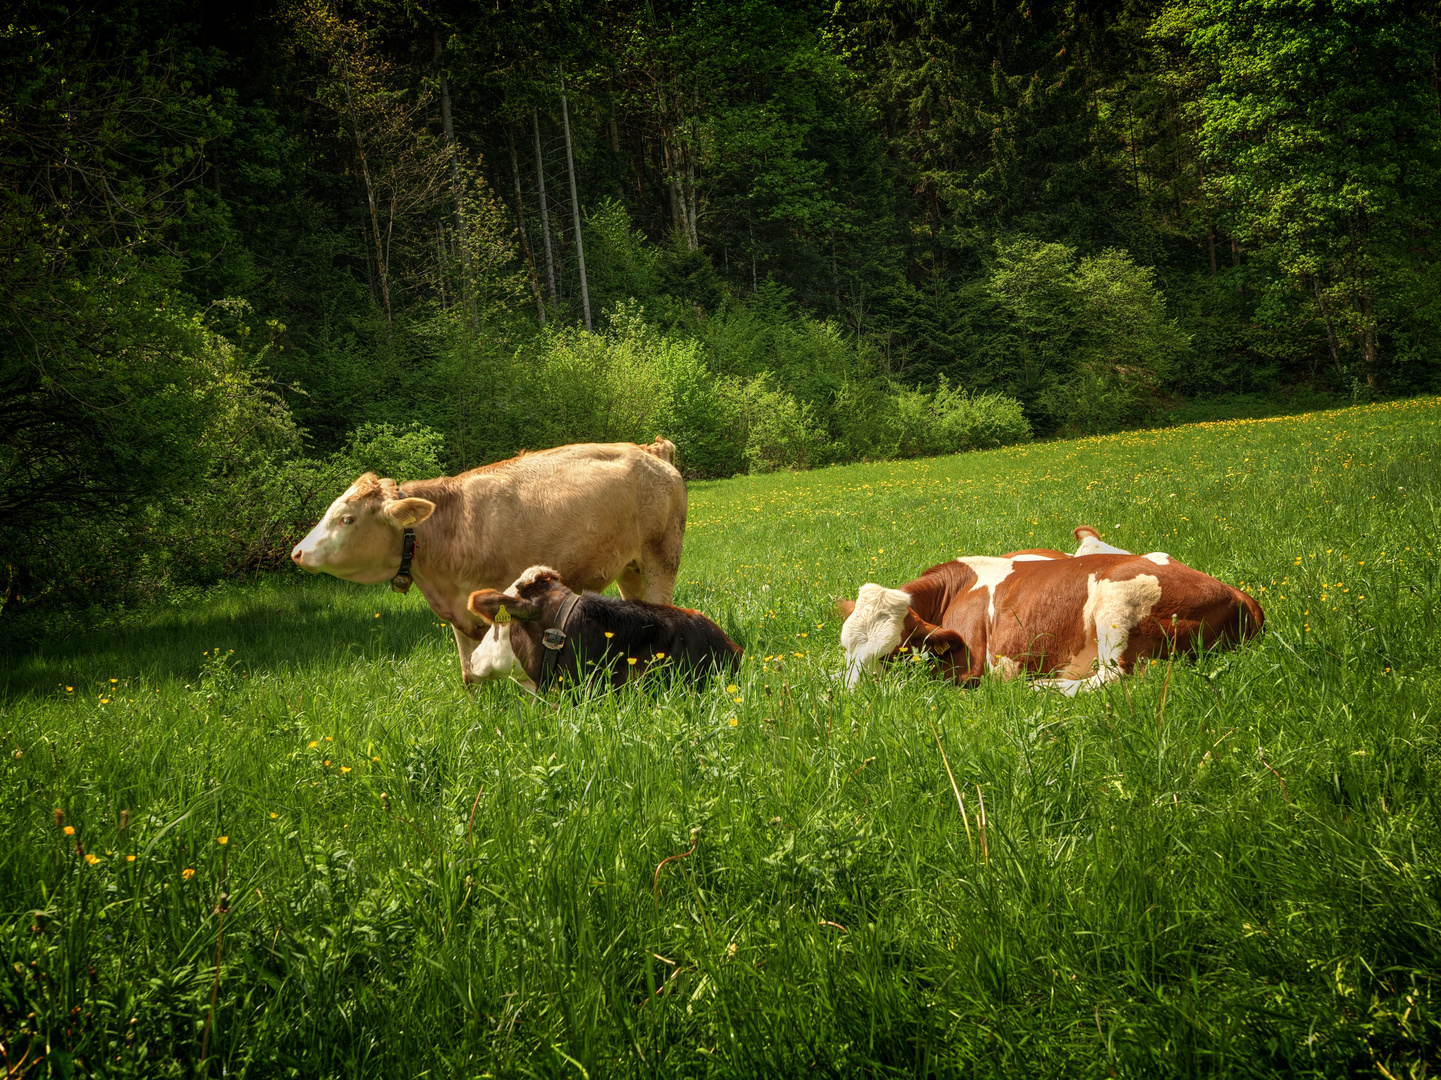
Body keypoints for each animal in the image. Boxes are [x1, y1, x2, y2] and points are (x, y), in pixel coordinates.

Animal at [292, 438, 685, 683]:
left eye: (347, 519)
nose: (298, 552)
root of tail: (650, 450)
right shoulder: (457, 614)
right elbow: (470, 674)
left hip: (661, 560)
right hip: (629, 570)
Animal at [835, 527, 1262, 695]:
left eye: (892, 654)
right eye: (846, 649)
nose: (852, 697)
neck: (955, 587)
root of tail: (1239, 595)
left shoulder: (967, 666)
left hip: (1117, 603)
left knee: (1112, 678)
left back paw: (1039, 687)